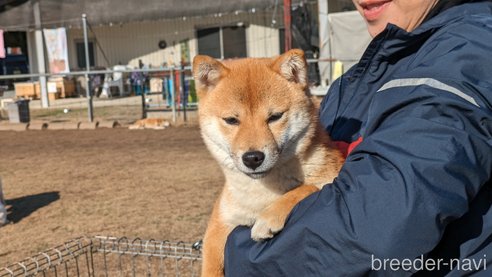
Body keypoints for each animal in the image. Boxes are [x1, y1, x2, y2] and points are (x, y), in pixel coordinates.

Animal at [194, 48, 344, 274]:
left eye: (275, 117)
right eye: (231, 120)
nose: (253, 158)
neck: (260, 194)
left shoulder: (331, 178)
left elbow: (303, 189)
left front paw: (268, 218)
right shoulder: (220, 222)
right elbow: (211, 266)